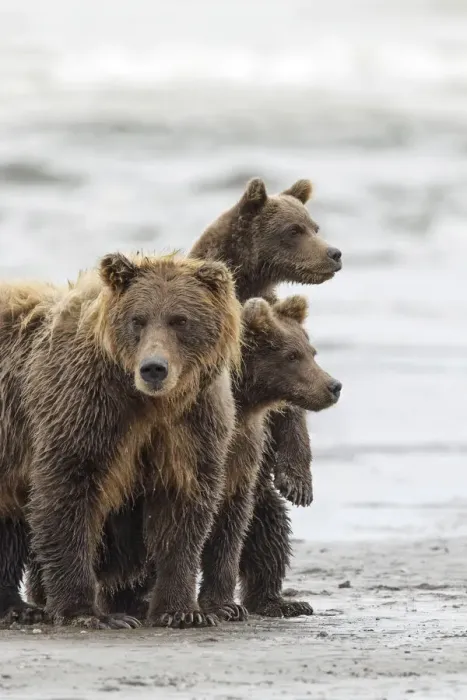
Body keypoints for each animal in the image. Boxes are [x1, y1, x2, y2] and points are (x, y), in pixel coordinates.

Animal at [0, 252, 241, 629]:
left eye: (180, 320)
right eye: (138, 319)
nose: (154, 368)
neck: (150, 403)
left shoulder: (190, 428)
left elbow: (183, 513)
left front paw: (181, 610)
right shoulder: (85, 408)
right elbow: (66, 493)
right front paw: (88, 613)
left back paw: (18, 606)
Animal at [199, 295, 341, 621]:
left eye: (312, 352)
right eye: (292, 356)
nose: (333, 386)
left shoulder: (245, 452)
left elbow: (231, 529)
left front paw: (224, 604)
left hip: (263, 499)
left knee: (271, 535)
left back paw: (281, 602)